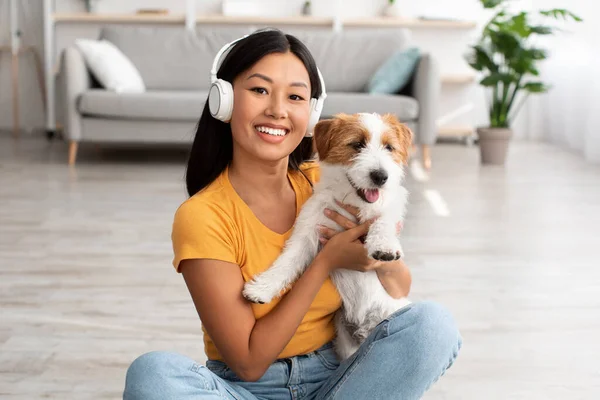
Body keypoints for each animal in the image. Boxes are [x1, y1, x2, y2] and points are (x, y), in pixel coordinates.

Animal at [243, 111, 412, 360]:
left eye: (389, 147)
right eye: (357, 144)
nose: (381, 176)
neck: (353, 204)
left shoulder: (391, 205)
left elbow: (383, 219)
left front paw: (384, 246)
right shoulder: (308, 230)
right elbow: (287, 261)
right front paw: (261, 289)